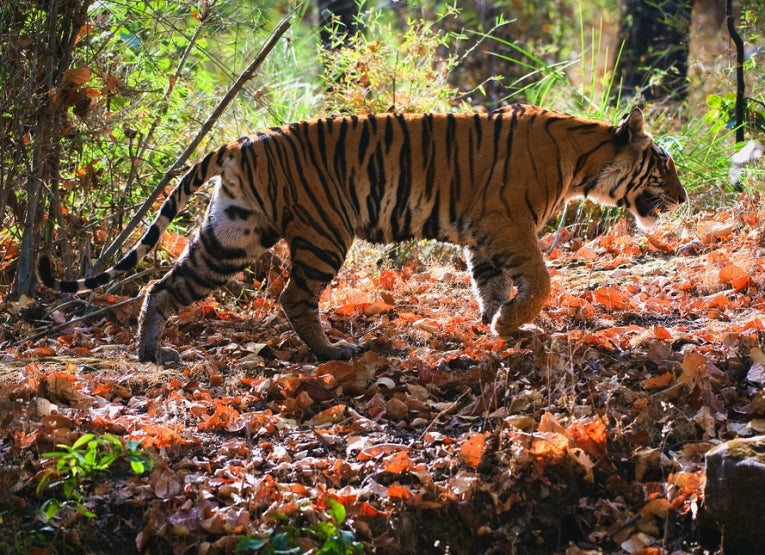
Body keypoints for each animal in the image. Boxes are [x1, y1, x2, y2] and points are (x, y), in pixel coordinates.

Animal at [38, 104, 686, 364]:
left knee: (164, 286)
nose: (682, 199)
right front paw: (510, 324)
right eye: (665, 165)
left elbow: (490, 283)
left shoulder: (483, 235)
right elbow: (540, 280)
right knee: (294, 296)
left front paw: (497, 326)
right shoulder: (506, 223)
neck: (583, 161)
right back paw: (333, 353)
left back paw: (152, 352)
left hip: (233, 234)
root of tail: (241, 140)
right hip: (323, 233)